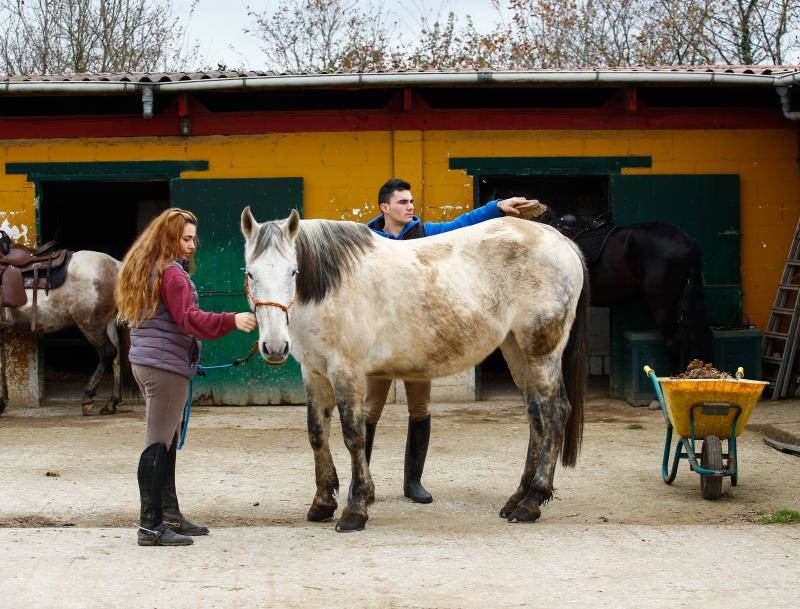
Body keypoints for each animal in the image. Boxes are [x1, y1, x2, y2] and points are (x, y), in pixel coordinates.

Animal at [0, 249, 122, 416]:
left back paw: (88, 397)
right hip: (108, 323)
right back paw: (111, 403)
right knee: (116, 358)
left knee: (107, 353)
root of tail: (116, 266)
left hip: (91, 324)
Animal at [242, 207, 588, 528]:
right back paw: (518, 498)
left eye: (293, 271)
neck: (331, 287)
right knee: (536, 417)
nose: (274, 347)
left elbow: (354, 435)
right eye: (250, 273)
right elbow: (317, 434)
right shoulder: (314, 373)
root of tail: (561, 241)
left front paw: (356, 509)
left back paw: (533, 501)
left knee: (554, 412)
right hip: (516, 350)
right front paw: (322, 503)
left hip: (541, 352)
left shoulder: (346, 370)